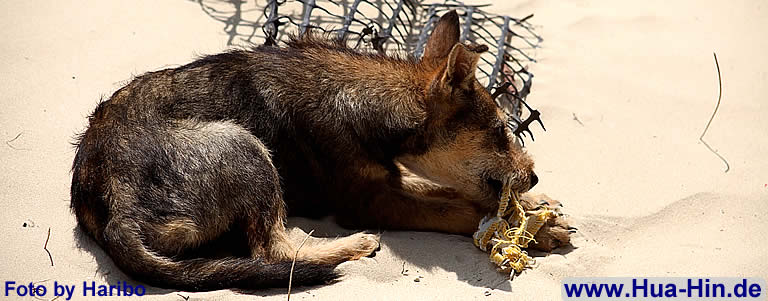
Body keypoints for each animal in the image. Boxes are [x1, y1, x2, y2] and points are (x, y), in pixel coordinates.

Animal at [69, 11, 568, 290]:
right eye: (501, 130)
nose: (535, 175)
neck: (375, 103)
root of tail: (115, 212)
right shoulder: (369, 200)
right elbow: (459, 209)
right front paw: (532, 229)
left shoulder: (389, 174)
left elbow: (451, 191)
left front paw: (534, 206)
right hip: (241, 145)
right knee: (273, 251)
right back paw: (350, 246)